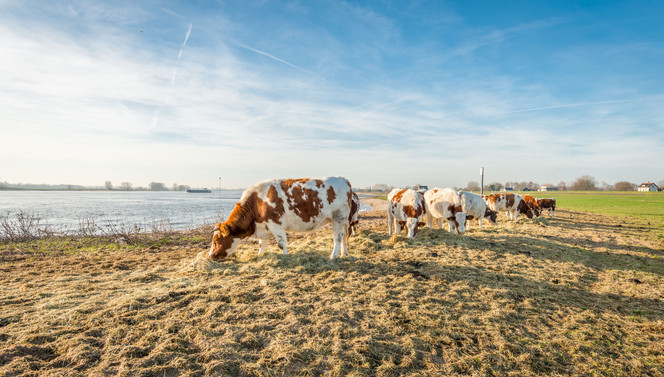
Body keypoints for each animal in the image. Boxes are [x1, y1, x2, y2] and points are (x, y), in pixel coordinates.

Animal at [209, 177, 352, 260]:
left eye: (216, 241)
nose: (210, 256)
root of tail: (344, 180)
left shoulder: (275, 224)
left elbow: (281, 243)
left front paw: (285, 256)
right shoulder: (264, 227)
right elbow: (262, 244)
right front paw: (260, 255)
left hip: (338, 217)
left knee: (338, 237)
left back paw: (333, 256)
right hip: (343, 220)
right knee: (344, 235)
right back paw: (344, 253)